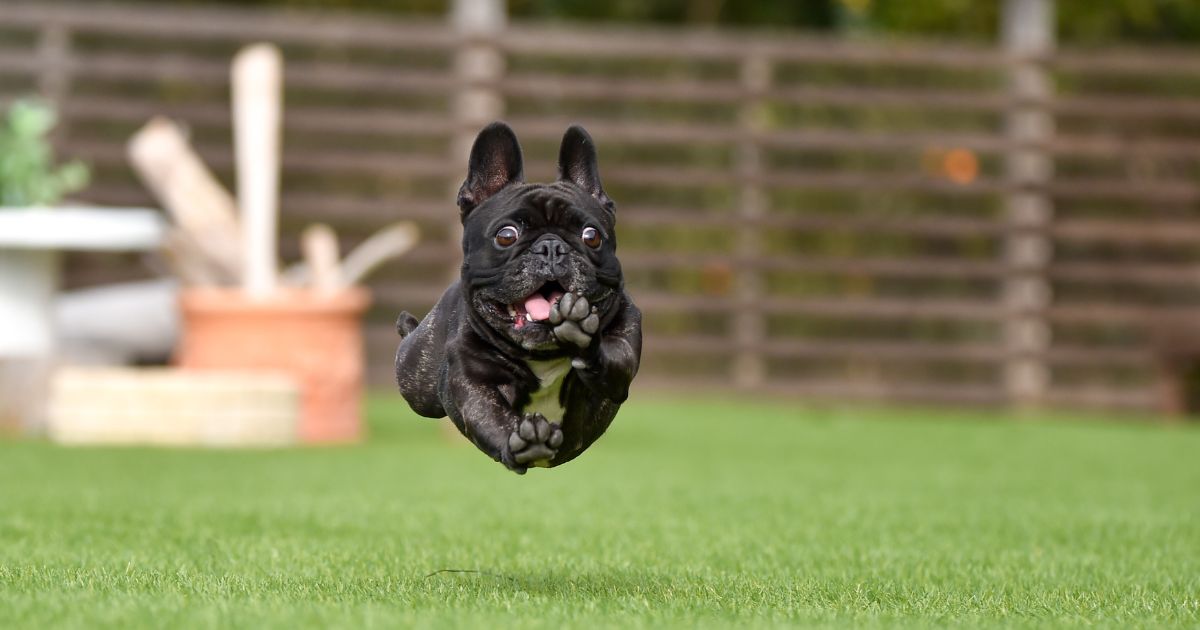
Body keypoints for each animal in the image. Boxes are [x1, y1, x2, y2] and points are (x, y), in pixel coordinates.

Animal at [391, 121, 638, 470]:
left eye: (591, 236)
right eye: (506, 235)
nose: (551, 247)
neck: (543, 356)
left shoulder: (625, 346)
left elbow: (615, 359)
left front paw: (580, 332)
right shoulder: (472, 380)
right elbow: (488, 414)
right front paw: (525, 440)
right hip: (416, 378)